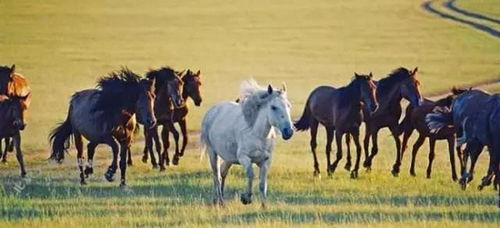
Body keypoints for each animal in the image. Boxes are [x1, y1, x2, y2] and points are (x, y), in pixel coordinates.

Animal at [199, 79, 292, 208]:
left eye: (288, 105)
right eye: (273, 107)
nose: (289, 131)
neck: (258, 135)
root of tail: (212, 111)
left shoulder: (266, 161)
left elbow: (262, 184)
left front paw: (264, 206)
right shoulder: (244, 158)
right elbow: (251, 174)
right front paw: (246, 198)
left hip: (228, 158)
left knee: (221, 173)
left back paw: (216, 200)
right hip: (212, 152)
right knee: (216, 176)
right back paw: (221, 202)